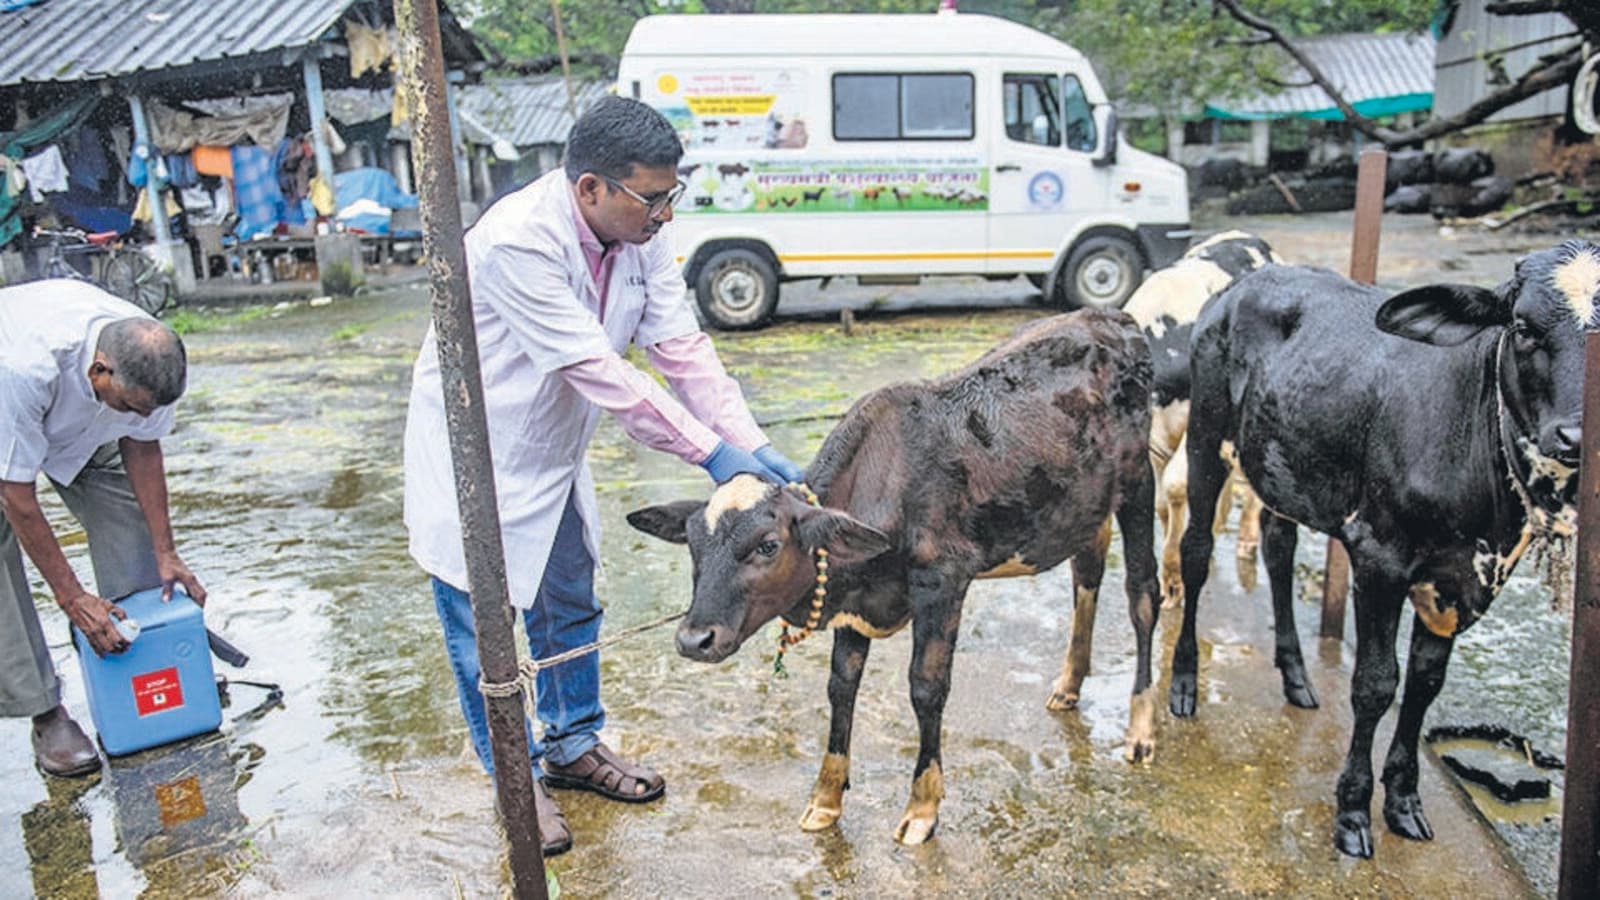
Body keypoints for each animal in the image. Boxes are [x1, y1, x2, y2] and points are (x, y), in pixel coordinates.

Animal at [627, 307, 1164, 839]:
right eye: (693, 544)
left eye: (768, 545)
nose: (693, 639)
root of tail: (1111, 316)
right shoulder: (853, 602)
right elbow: (841, 686)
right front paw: (825, 798)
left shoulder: (943, 581)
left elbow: (926, 687)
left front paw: (922, 806)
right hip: (1087, 505)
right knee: (1086, 576)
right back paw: (1069, 686)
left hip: (1140, 483)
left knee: (1142, 595)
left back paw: (1141, 728)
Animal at [1126, 230, 1286, 605]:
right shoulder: (1154, 441)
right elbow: (1161, 503)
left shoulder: (1196, 425)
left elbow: (1175, 486)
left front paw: (1173, 579)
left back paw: (1246, 540)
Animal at [1171, 243, 1593, 851]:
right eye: (1522, 326)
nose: (1576, 439)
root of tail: (1244, 282)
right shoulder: (1379, 558)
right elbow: (1376, 684)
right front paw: (1351, 811)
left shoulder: (1457, 581)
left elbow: (1424, 684)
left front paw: (1404, 799)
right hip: (1206, 438)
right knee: (1197, 552)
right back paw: (1183, 684)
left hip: (1281, 464)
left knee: (1278, 547)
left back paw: (1296, 675)